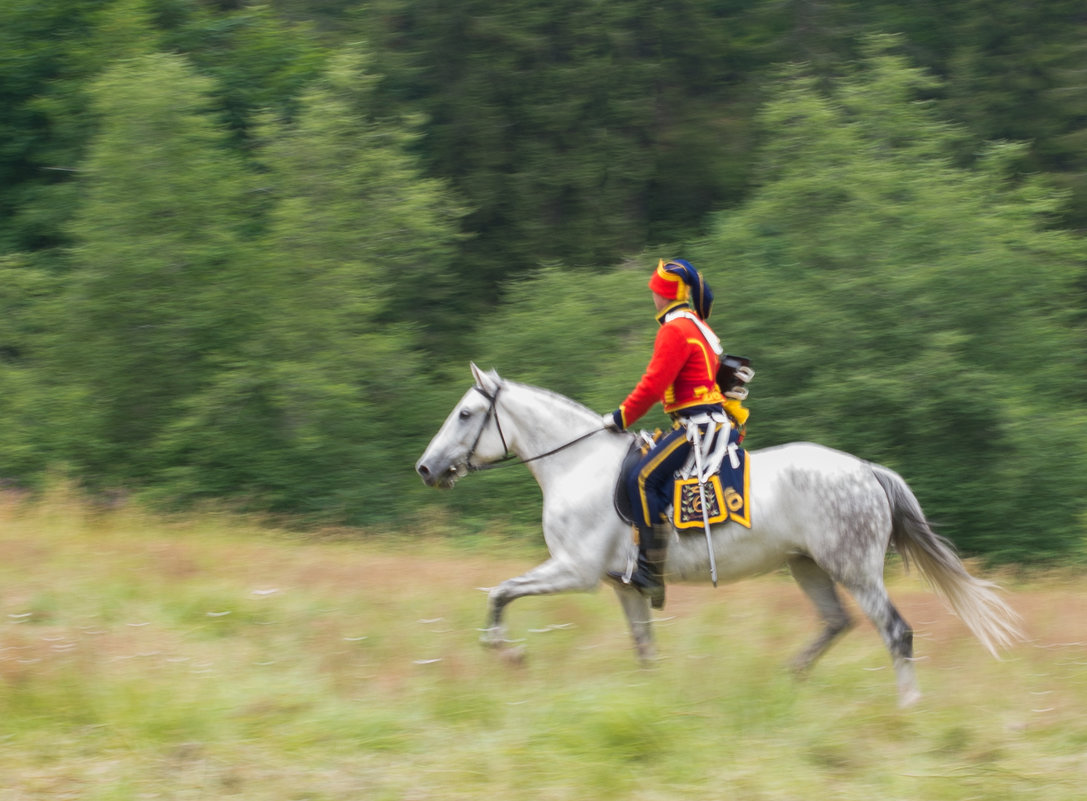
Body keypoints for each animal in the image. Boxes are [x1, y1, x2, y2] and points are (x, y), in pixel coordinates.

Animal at [413, 363, 1017, 704]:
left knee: (896, 632)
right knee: (835, 623)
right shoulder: (624, 587)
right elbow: (644, 650)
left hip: (856, 569)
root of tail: (867, 470)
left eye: (465, 414)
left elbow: (499, 594)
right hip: (808, 566)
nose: (425, 467)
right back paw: (786, 682)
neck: (578, 465)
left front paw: (507, 654)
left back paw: (907, 708)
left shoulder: (573, 571)